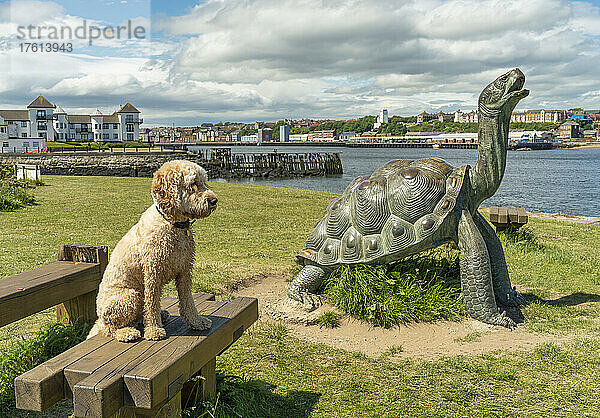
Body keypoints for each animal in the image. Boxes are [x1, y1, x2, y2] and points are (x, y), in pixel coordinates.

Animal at [88, 161, 219, 342]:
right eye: (193, 184)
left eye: (204, 182)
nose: (214, 200)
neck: (172, 224)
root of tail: (98, 318)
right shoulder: (152, 272)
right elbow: (151, 304)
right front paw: (154, 330)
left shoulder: (185, 270)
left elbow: (188, 300)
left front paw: (196, 321)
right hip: (130, 296)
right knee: (109, 328)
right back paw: (127, 332)